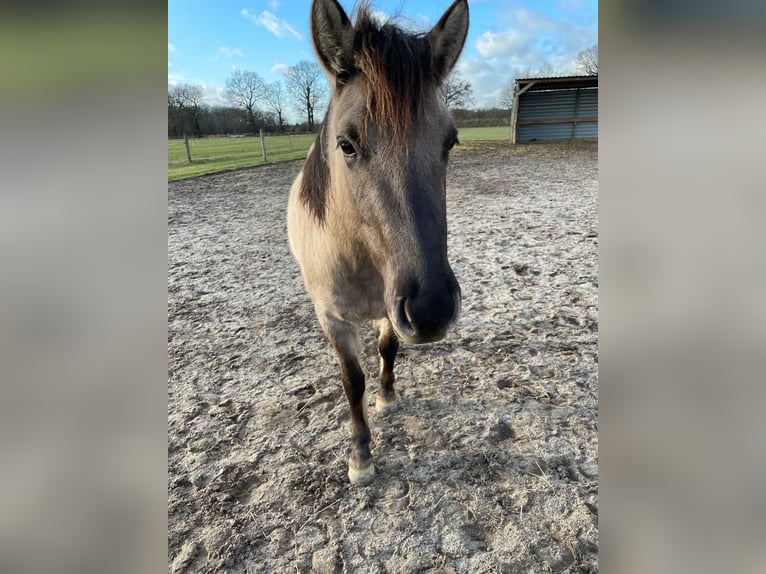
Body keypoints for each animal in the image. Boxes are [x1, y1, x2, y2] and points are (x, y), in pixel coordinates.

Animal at [286, 0, 468, 486]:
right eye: (346, 144)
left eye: (451, 142)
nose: (432, 310)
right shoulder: (333, 320)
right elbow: (352, 382)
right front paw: (361, 456)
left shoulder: (391, 307)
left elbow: (388, 348)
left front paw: (387, 397)